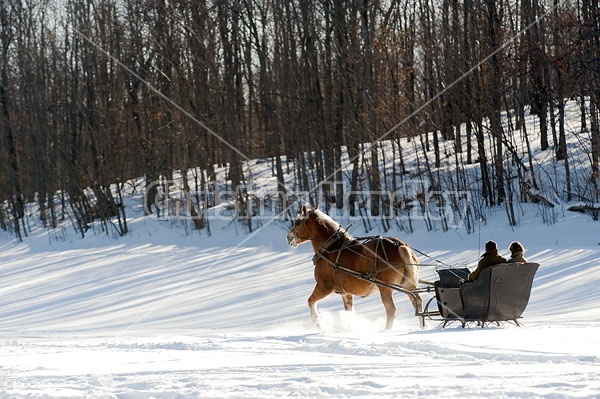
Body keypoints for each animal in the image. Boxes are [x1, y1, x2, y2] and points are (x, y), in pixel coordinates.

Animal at [288, 205, 422, 330]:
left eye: (297, 222)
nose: (288, 237)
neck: (329, 248)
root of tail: (399, 245)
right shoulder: (346, 293)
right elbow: (349, 312)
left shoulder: (324, 286)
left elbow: (310, 301)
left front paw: (318, 322)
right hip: (408, 286)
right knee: (417, 302)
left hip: (385, 288)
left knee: (391, 310)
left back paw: (386, 331)